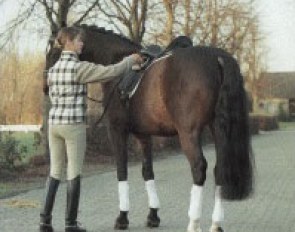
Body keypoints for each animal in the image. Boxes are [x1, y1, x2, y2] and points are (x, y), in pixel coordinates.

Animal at [45, 25, 254, 232]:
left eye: (53, 51)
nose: (46, 87)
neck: (116, 61)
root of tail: (217, 58)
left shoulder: (116, 130)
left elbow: (122, 170)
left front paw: (122, 218)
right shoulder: (143, 135)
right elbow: (147, 171)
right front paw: (153, 215)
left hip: (189, 133)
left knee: (199, 168)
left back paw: (193, 223)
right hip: (218, 128)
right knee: (219, 170)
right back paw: (216, 224)